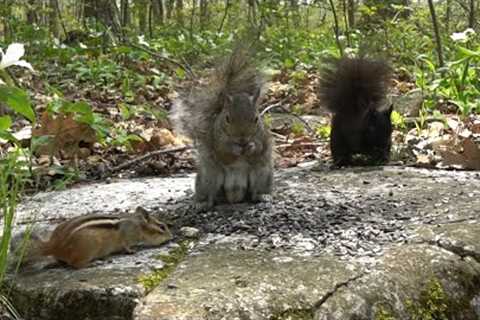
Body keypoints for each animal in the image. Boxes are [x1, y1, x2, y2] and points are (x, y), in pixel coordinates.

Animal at [171, 45, 272, 210]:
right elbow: (223, 151)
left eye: (256, 119)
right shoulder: (216, 139)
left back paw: (263, 196)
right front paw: (235, 149)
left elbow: (259, 147)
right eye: (227, 119)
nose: (242, 138)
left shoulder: (262, 137)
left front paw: (250, 147)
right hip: (209, 178)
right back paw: (203, 202)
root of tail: (234, 195)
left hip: (262, 174)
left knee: (255, 192)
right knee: (211, 194)